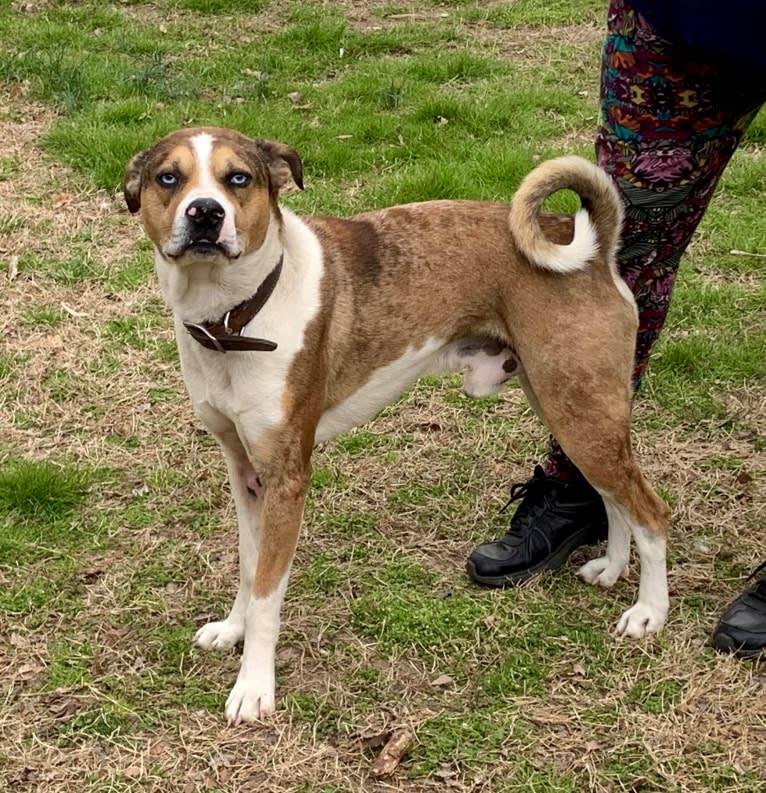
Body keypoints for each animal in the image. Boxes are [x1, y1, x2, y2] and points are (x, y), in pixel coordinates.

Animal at [123, 128, 668, 724]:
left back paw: (650, 611)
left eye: (237, 178)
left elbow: (269, 590)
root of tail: (594, 245)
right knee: (613, 495)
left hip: (579, 412)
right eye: (168, 178)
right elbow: (249, 566)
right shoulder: (245, 470)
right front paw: (233, 630)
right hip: (569, 410)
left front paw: (254, 687)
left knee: (650, 510)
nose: (205, 213)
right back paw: (612, 568)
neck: (237, 316)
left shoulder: (287, 479)